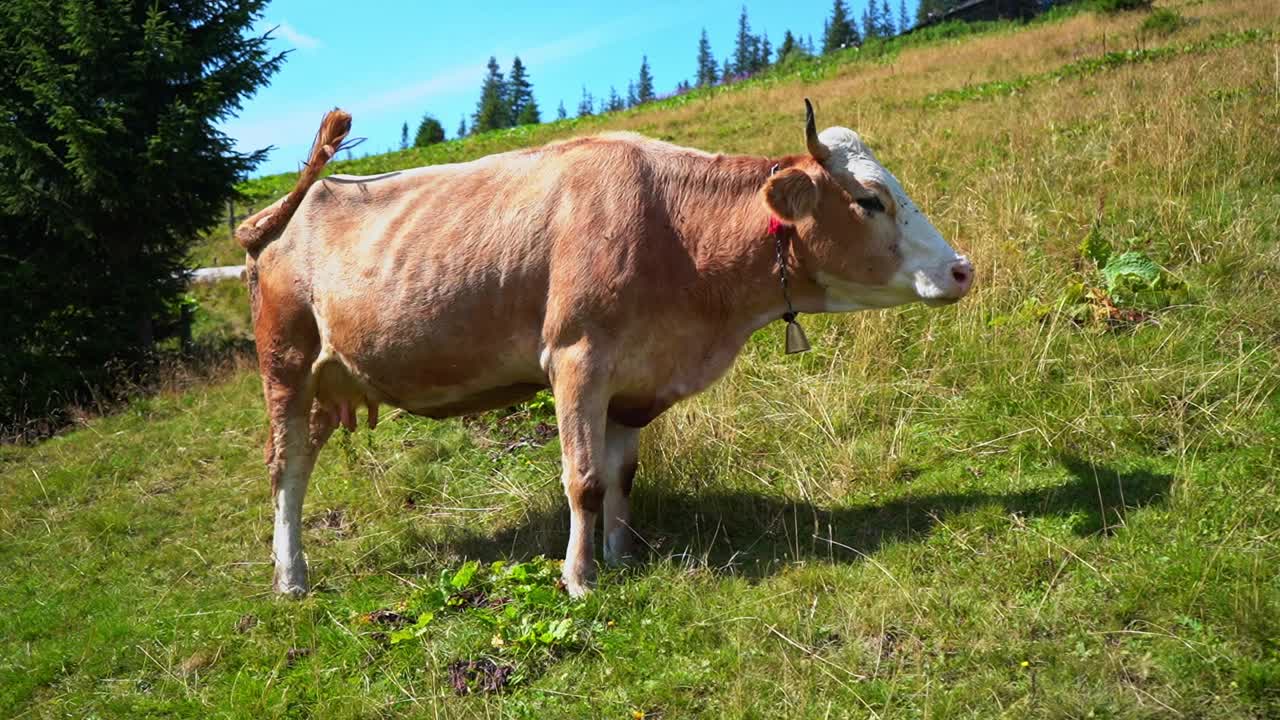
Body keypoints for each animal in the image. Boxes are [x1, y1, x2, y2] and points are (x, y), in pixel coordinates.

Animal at [240, 99, 972, 594]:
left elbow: (623, 476)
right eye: (870, 200)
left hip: (328, 382)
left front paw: (622, 553)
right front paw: (580, 576)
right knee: (285, 467)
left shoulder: (635, 379)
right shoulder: (576, 358)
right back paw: (291, 577)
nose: (962, 268)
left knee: (301, 461)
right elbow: (584, 479)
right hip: (286, 361)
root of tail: (288, 207)